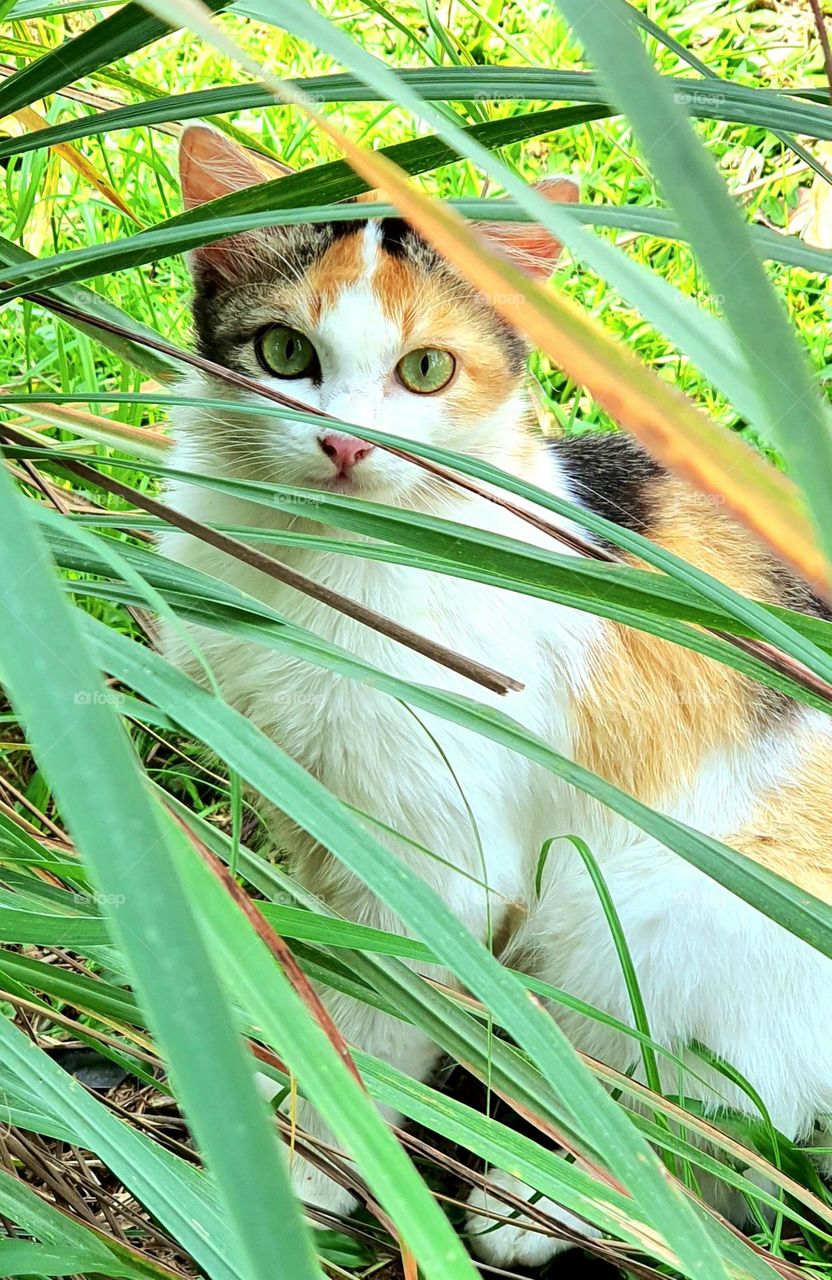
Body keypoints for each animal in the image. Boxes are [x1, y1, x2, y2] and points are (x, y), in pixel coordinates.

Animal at [160, 124, 829, 1264]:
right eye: (285, 354)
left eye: (424, 370)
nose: (346, 443)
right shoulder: (315, 820)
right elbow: (341, 977)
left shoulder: (440, 861)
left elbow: (384, 1018)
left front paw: (314, 1166)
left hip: (673, 921)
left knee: (720, 1137)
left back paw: (546, 1206)